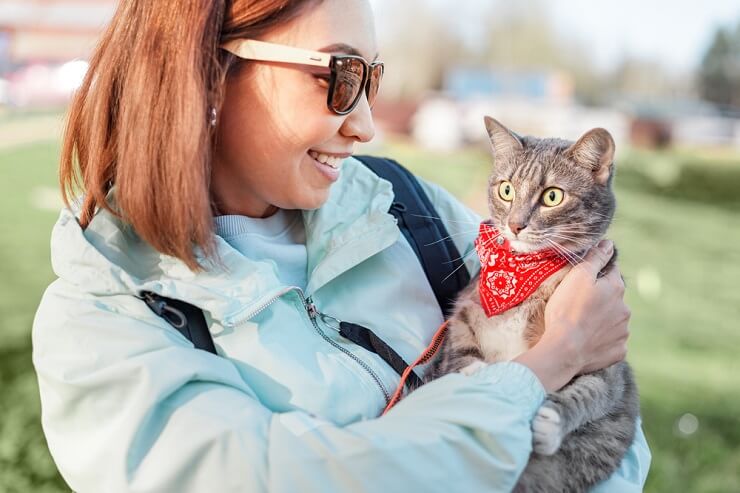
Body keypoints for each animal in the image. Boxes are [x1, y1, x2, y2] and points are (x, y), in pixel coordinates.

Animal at [424, 116, 640, 492]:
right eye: (506, 190)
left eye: (553, 196)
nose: (515, 224)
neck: (524, 275)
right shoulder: (462, 319)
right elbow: (460, 356)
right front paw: (478, 377)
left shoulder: (607, 365)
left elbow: (590, 391)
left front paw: (551, 420)